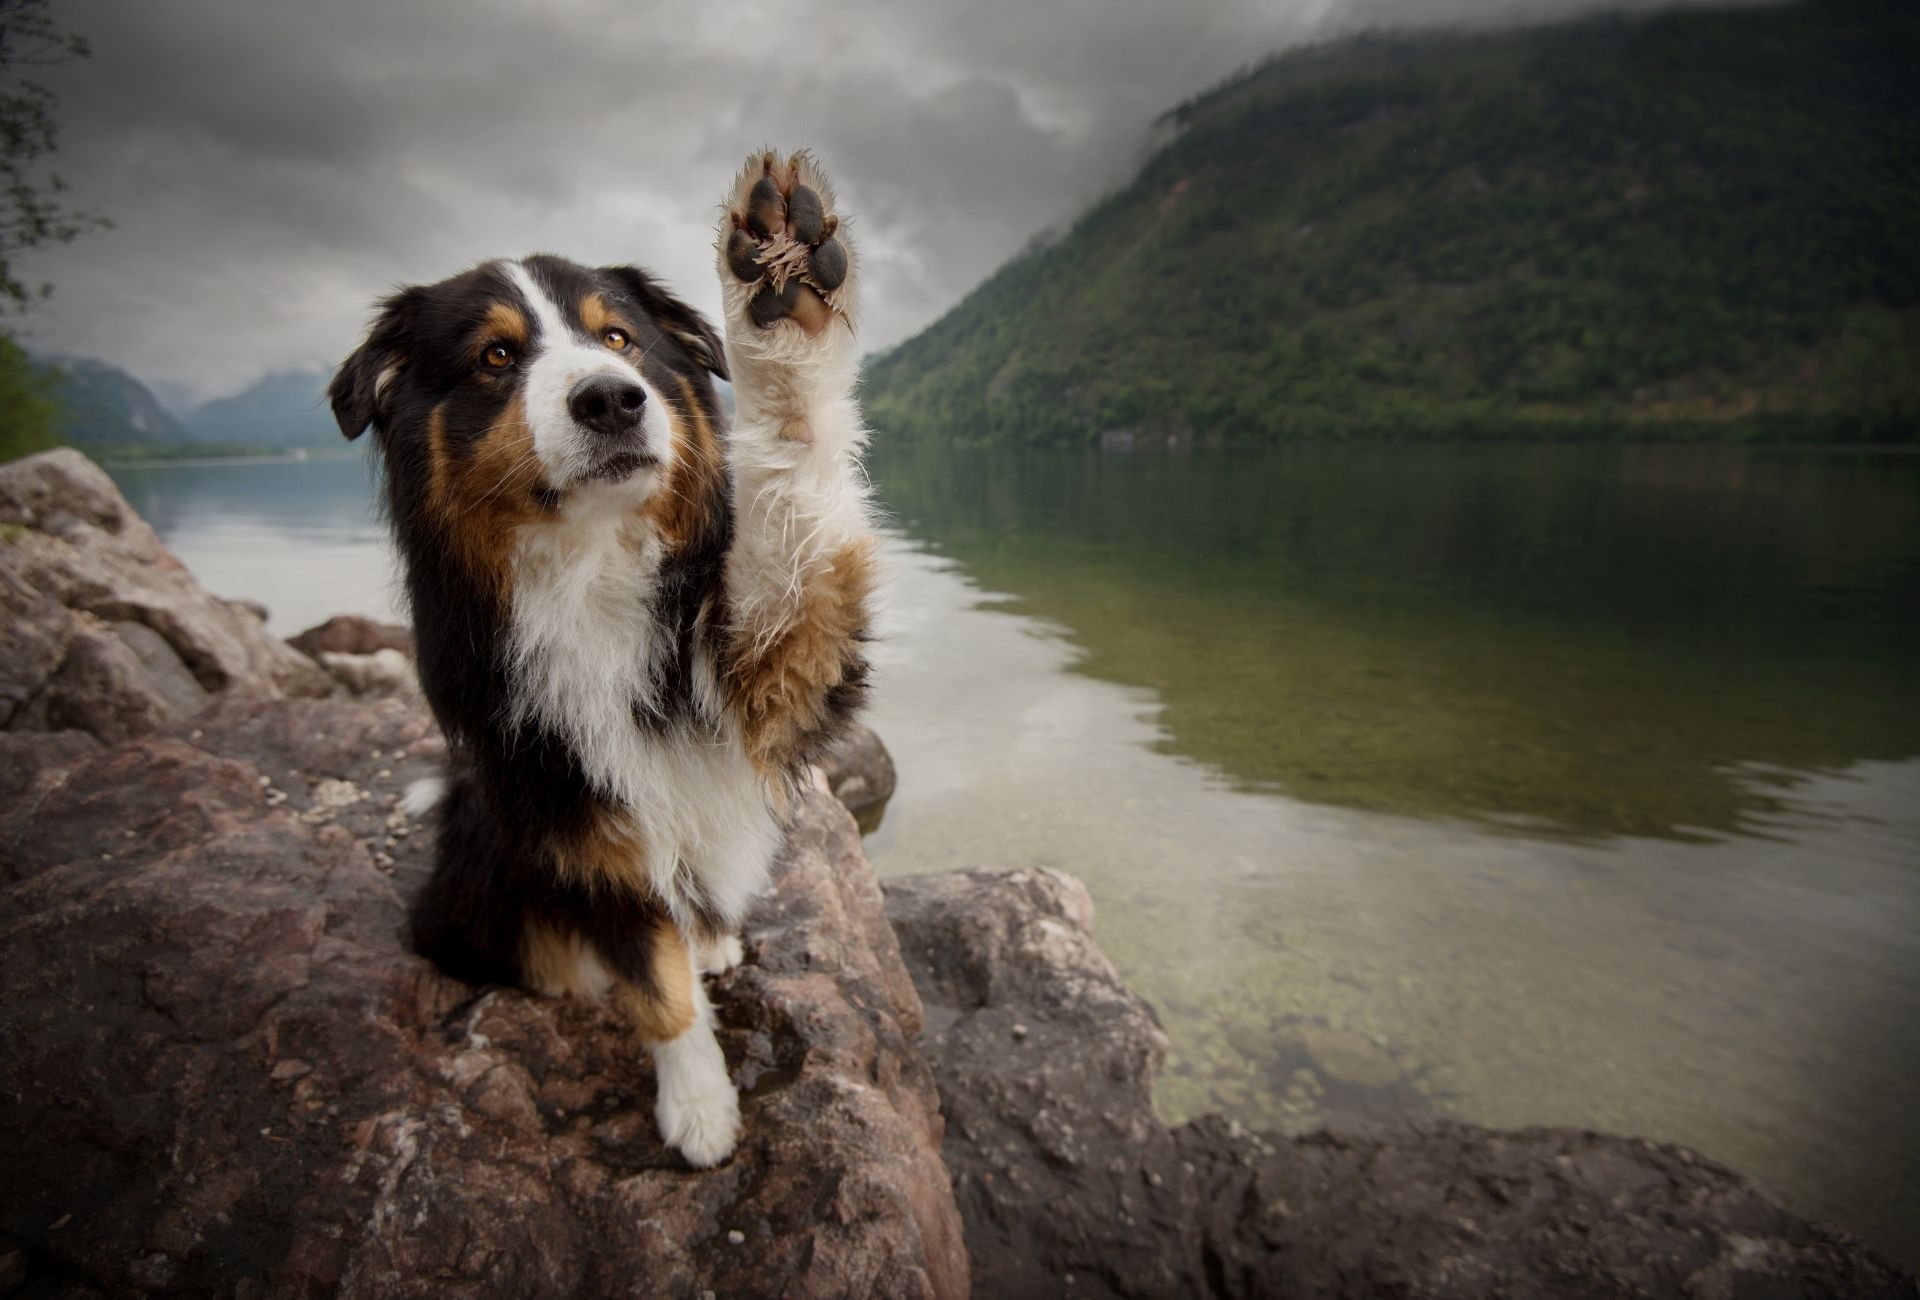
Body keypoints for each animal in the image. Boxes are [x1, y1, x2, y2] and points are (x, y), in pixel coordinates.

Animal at [328, 149, 871, 1167]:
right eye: (496, 357)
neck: (591, 561)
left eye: (618, 339)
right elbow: (652, 983)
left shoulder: (770, 658)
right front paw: (699, 1109)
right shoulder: (578, 817)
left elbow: (795, 490)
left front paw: (779, 290)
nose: (614, 398)